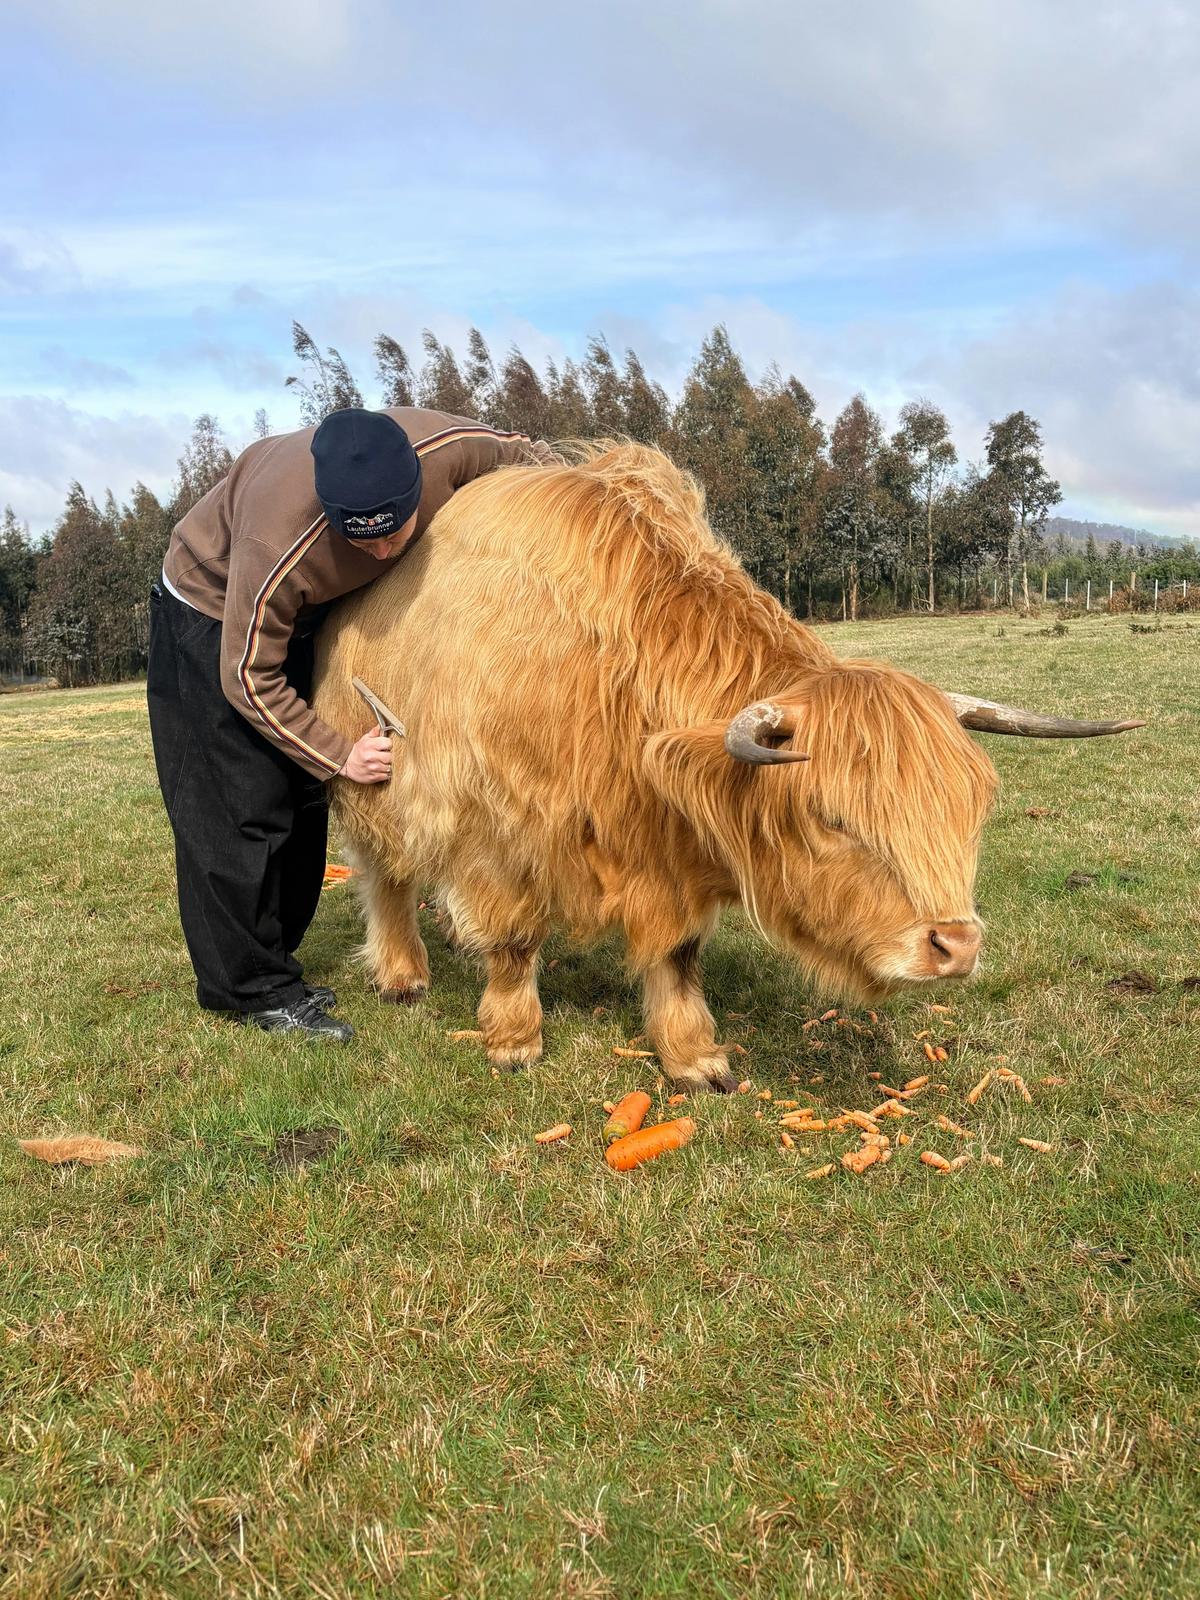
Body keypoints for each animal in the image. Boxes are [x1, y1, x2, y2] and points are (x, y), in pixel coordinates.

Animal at [312, 443, 1142, 1092]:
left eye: (970, 813)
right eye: (833, 819)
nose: (956, 948)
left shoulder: (670, 855)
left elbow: (677, 956)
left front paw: (694, 1057)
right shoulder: (495, 833)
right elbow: (514, 943)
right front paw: (514, 1040)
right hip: (370, 781)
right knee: (385, 878)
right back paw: (402, 974)